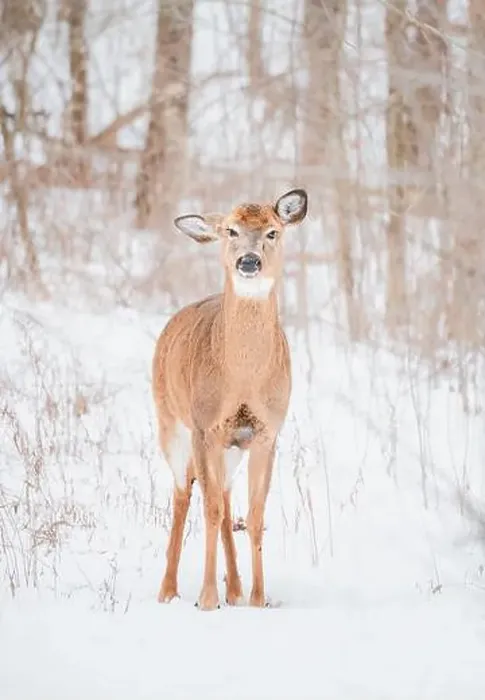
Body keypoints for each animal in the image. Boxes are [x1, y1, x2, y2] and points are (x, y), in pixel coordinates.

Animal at [152, 188, 308, 611]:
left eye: (272, 231)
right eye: (230, 231)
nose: (248, 261)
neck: (243, 378)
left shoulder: (267, 431)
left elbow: (253, 515)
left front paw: (257, 598)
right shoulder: (204, 426)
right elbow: (208, 508)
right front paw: (206, 599)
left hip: (232, 445)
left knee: (223, 497)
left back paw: (235, 589)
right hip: (170, 423)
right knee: (182, 495)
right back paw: (168, 590)